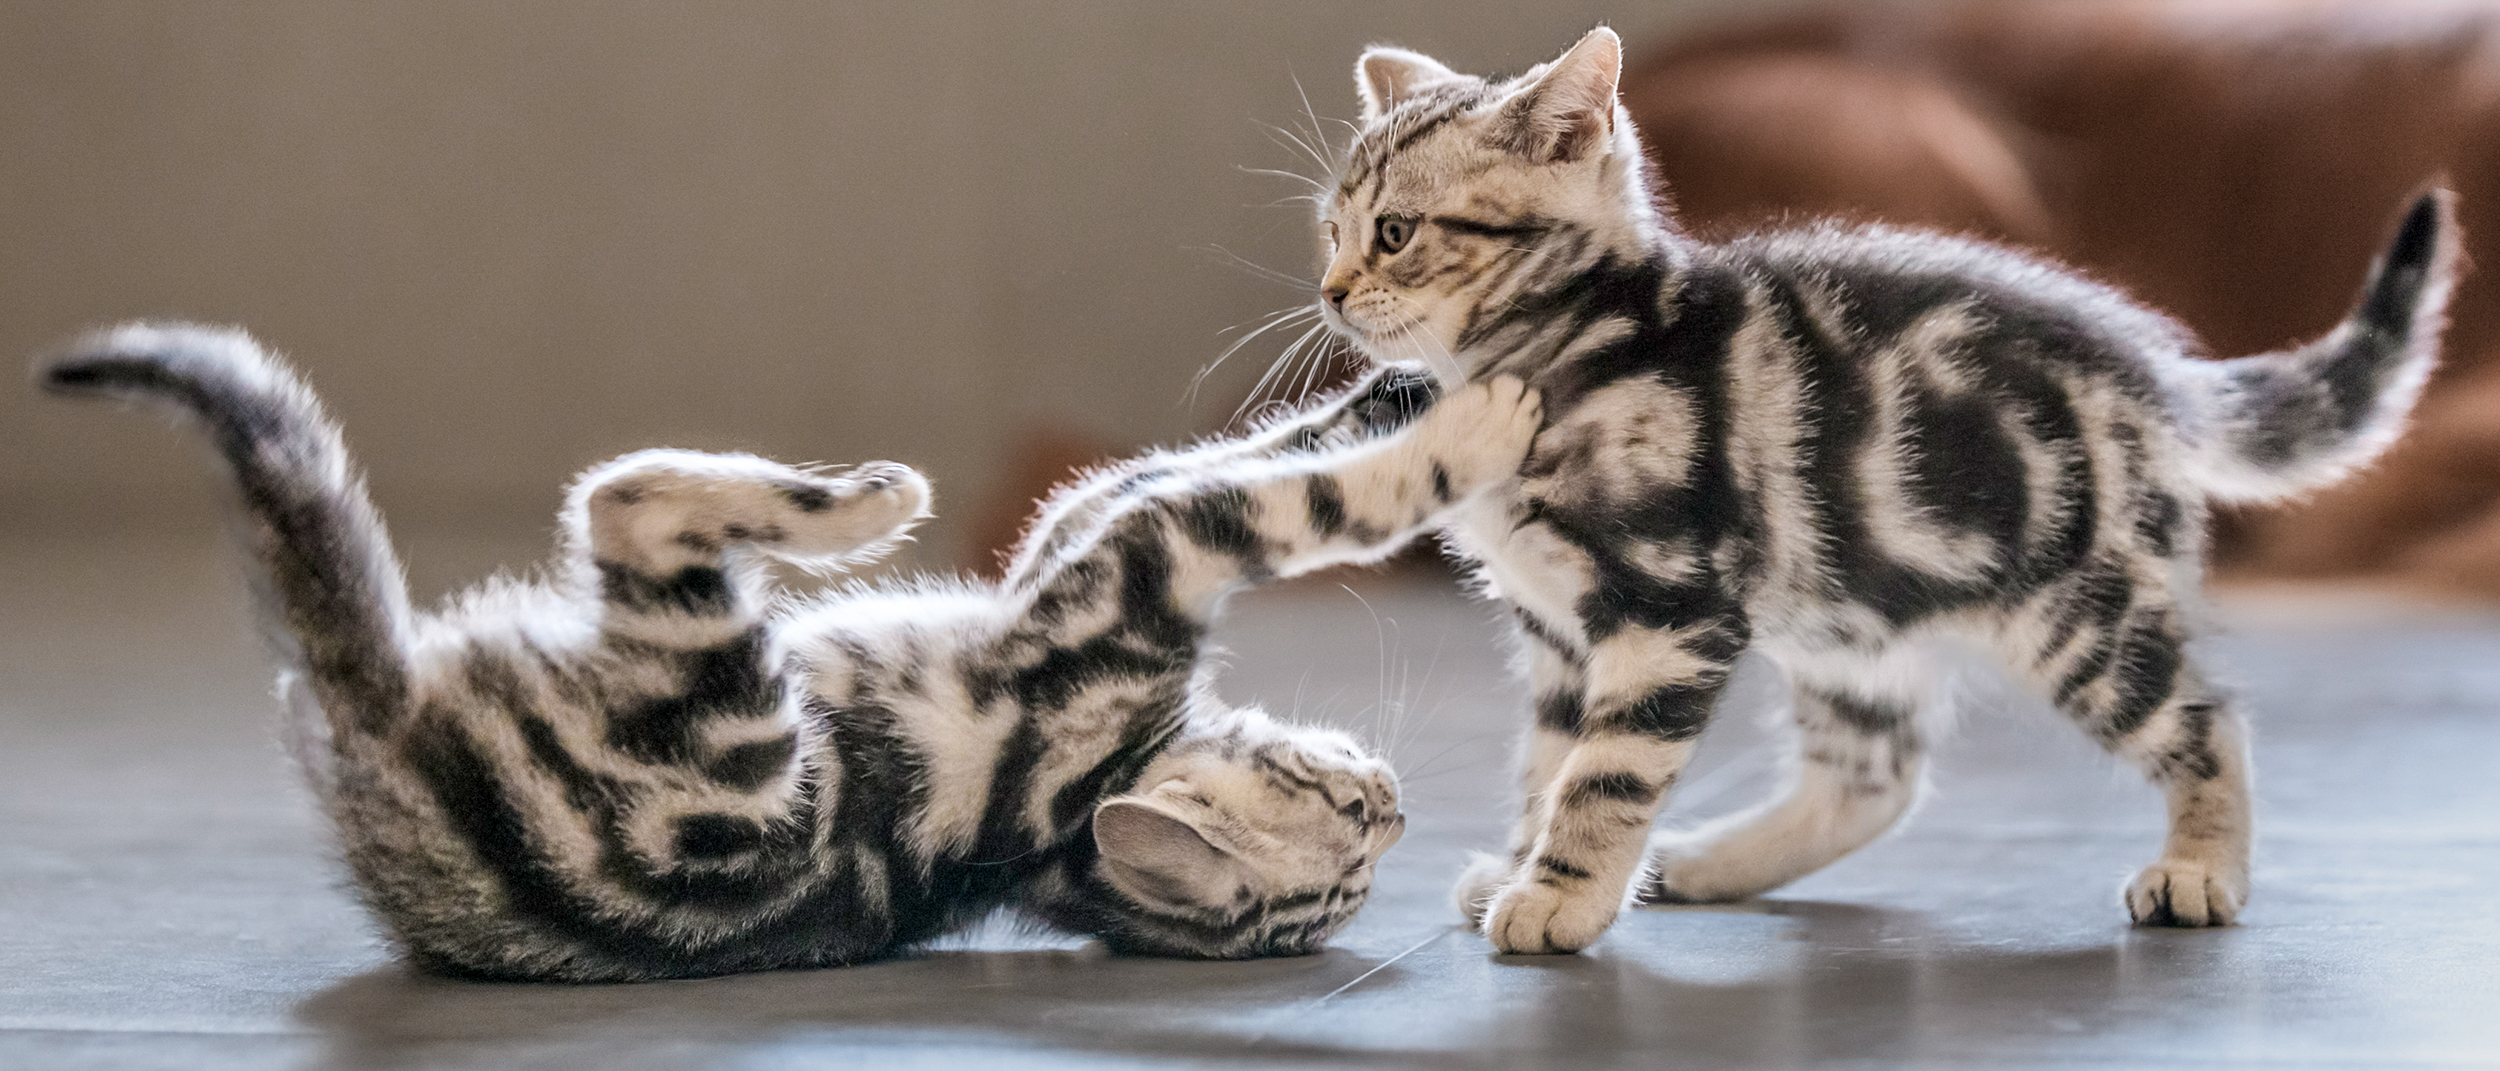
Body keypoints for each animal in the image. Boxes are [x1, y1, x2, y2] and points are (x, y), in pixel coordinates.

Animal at [48, 320, 1540, 980]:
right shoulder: (1104, 551)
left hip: (732, 711)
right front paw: (1414, 389)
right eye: (1343, 807)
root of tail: (385, 739)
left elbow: (1298, 495)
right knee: (626, 495)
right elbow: (1243, 459)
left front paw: (1467, 421)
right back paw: (861, 499)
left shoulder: (1129, 572)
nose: (1397, 802)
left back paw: (852, 500)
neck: (1057, 831)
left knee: (623, 498)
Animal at [1310, 27, 2460, 955]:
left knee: (2206, 720)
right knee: (1875, 775)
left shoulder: (1666, 609)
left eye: (1396, 234)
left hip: (2076, 613)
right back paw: (1707, 861)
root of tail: (2152, 370)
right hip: (1850, 608)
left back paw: (2201, 870)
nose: (1329, 293)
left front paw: (1562, 897)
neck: (1563, 350)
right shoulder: (1559, 631)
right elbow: (1548, 764)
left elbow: (1606, 773)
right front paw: (1525, 865)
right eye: (1333, 230)